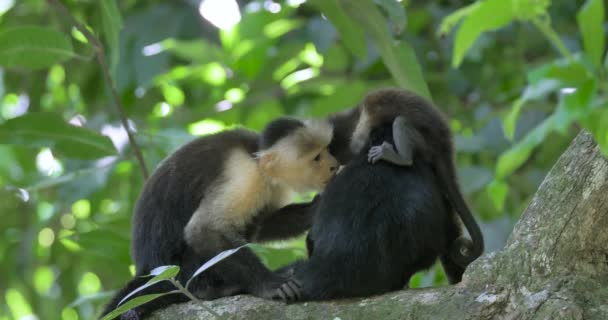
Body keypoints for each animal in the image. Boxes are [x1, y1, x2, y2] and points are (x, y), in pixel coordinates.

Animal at [100, 116, 338, 318]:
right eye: (317, 158)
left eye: (326, 150)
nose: (334, 165)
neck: (257, 161)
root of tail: (146, 271)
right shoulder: (243, 173)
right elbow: (204, 231)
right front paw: (269, 283)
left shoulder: (272, 185)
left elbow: (264, 223)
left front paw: (315, 209)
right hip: (174, 273)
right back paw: (207, 290)